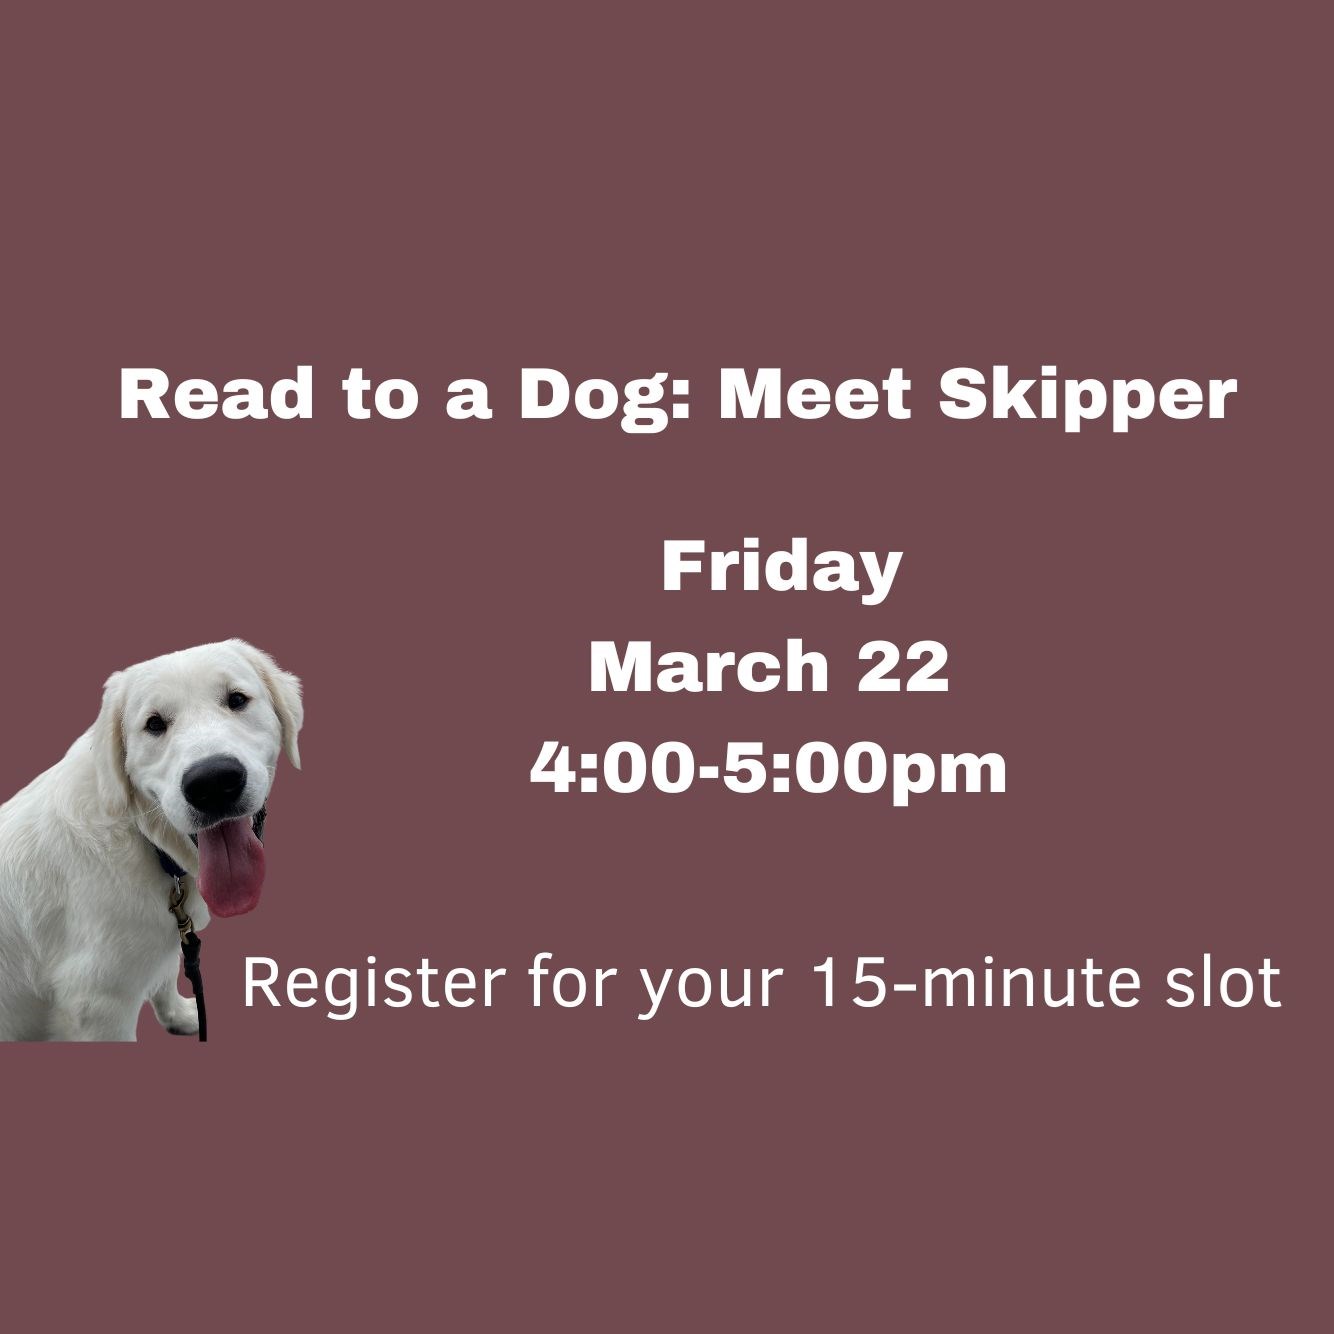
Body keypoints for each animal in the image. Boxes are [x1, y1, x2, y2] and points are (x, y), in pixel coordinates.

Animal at [0, 642, 302, 1040]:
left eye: (237, 700)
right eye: (154, 724)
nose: (212, 782)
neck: (145, 840)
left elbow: (166, 976)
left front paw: (180, 1015)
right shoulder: (99, 1005)